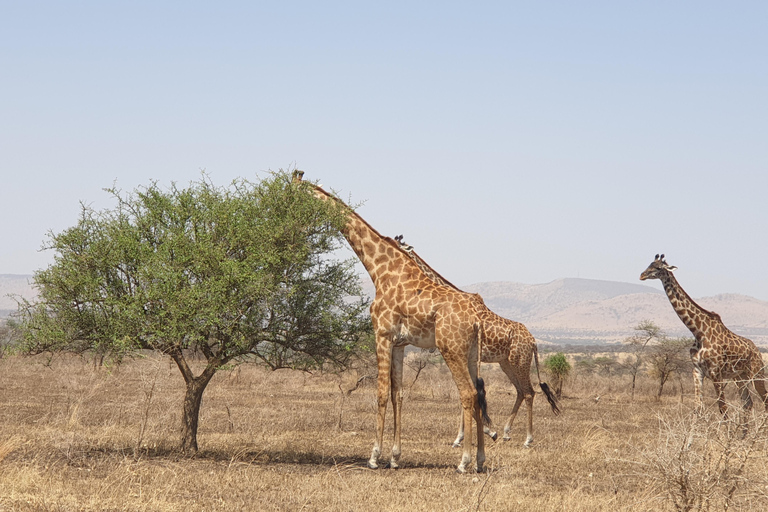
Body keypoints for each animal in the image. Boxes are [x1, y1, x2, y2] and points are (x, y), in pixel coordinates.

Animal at [292, 171, 488, 472]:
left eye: (293, 195)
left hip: (451, 348)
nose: (291, 222)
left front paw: (374, 456)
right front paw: (395, 457)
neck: (379, 269)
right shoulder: (399, 344)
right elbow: (398, 394)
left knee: (467, 394)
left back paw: (464, 462)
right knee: (477, 394)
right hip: (471, 352)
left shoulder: (381, 335)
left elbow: (381, 392)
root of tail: (477, 320)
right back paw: (479, 459)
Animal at [392, 234, 560, 446]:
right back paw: (506, 432)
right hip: (506, 363)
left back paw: (528, 438)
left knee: (529, 391)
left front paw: (466, 435)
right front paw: (471, 434)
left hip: (520, 360)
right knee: (521, 391)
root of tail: (533, 341)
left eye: (400, 246)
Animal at [636, 254, 768, 418]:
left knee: (764, 400)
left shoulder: (716, 373)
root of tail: (756, 350)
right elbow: (698, 408)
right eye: (649, 264)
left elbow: (723, 409)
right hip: (740, 377)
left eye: (658, 267)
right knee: (748, 404)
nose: (642, 275)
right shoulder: (697, 371)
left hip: (757, 373)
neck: (699, 331)